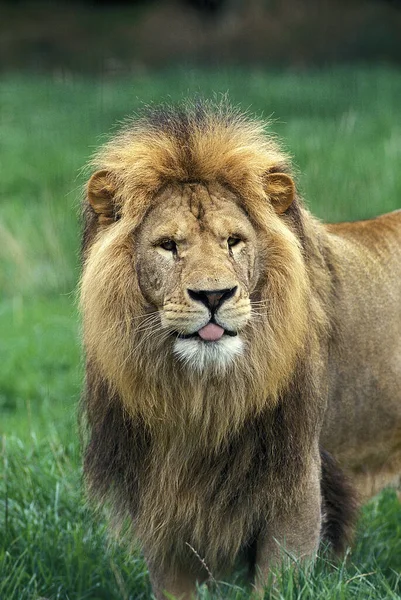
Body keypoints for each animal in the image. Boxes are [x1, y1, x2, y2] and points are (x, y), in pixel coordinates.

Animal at [79, 101, 400, 596]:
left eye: (234, 241)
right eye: (168, 246)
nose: (214, 296)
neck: (201, 399)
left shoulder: (297, 482)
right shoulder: (161, 494)